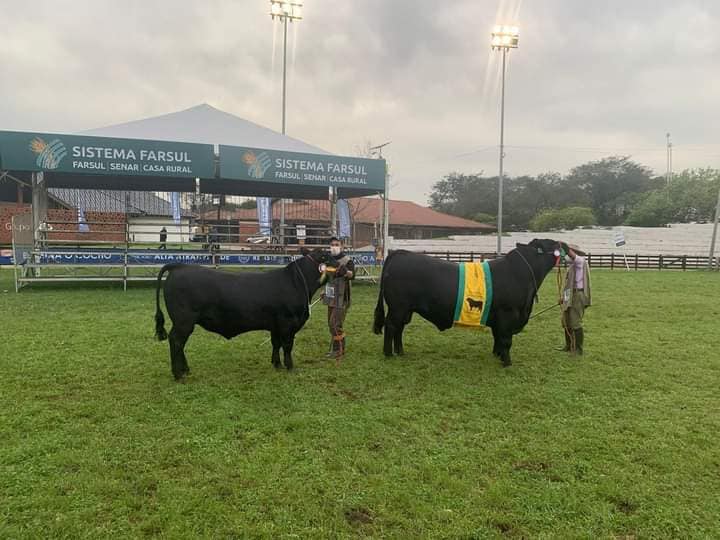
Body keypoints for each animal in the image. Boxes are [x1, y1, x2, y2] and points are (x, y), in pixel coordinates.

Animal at [156, 250, 330, 380]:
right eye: (329, 255)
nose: (344, 262)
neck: (296, 282)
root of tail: (179, 266)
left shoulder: (275, 325)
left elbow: (276, 344)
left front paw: (277, 364)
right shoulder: (288, 323)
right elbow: (287, 346)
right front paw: (290, 367)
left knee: (180, 343)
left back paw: (185, 370)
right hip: (183, 321)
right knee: (176, 341)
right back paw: (178, 374)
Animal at [372, 240, 568, 368]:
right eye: (551, 244)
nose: (565, 245)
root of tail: (400, 253)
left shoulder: (498, 317)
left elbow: (497, 337)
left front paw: (497, 355)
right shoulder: (508, 313)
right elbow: (505, 340)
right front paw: (507, 362)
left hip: (406, 310)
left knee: (399, 329)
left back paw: (400, 352)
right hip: (398, 308)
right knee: (391, 326)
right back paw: (389, 354)